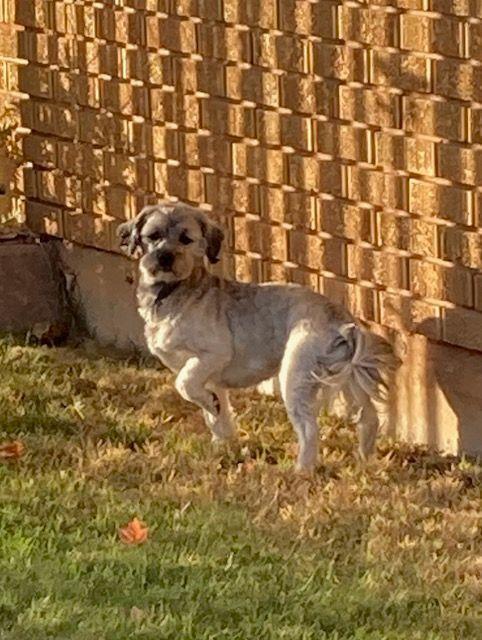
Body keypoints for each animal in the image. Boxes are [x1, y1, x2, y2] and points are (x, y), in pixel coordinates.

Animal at [117, 202, 400, 472]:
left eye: (186, 238)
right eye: (153, 236)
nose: (164, 256)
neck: (174, 293)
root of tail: (342, 322)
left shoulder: (212, 355)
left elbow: (185, 384)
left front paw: (209, 407)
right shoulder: (211, 378)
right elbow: (217, 415)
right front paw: (222, 444)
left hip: (296, 374)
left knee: (309, 431)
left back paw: (301, 471)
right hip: (349, 378)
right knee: (369, 418)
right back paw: (365, 459)